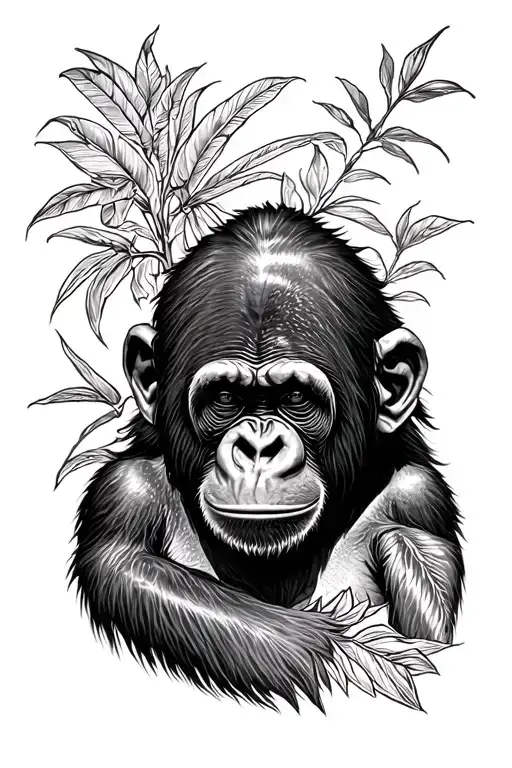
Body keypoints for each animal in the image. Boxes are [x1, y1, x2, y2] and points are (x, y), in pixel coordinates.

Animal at [70, 204, 464, 710]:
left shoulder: (420, 496)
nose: (259, 448)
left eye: (295, 396)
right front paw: (342, 649)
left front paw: (406, 552)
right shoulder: (124, 493)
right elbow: (136, 572)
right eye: (225, 397)